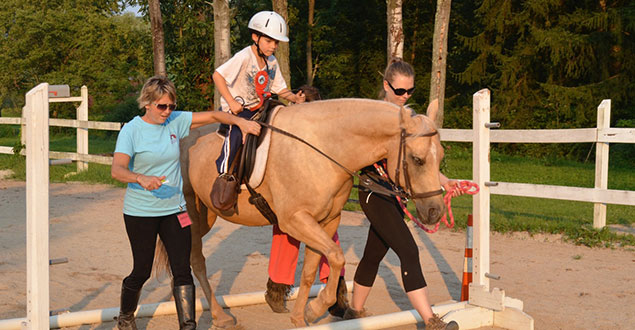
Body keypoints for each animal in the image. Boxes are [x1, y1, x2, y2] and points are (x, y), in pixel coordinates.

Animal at [176, 98, 444, 328]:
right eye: (417, 159)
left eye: (440, 156)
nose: (435, 211)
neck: (324, 150)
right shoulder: (295, 220)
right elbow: (336, 256)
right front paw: (316, 308)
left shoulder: (326, 221)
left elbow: (310, 271)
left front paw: (301, 317)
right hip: (192, 214)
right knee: (196, 262)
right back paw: (219, 317)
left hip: (208, 215)